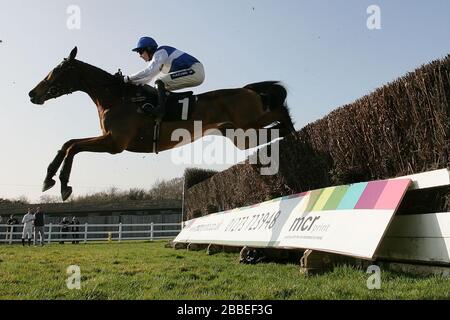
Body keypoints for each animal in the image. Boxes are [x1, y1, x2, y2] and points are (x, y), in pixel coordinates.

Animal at [28, 47, 296, 200]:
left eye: (57, 70)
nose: (32, 93)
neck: (116, 97)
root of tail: (247, 90)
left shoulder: (115, 143)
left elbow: (74, 146)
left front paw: (64, 184)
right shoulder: (109, 139)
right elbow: (68, 143)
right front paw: (48, 178)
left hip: (246, 128)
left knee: (279, 113)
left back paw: (291, 132)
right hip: (237, 133)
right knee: (273, 125)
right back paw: (289, 136)